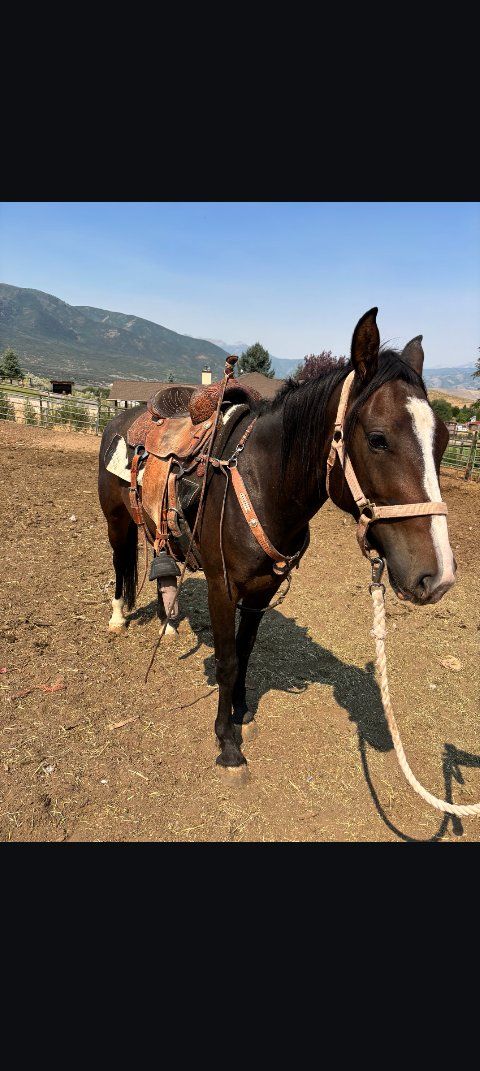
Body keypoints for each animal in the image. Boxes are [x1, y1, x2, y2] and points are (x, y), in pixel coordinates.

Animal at [98, 308, 456, 773]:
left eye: (443, 440)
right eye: (378, 438)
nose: (438, 577)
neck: (263, 483)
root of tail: (121, 419)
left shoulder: (261, 589)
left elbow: (246, 652)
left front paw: (240, 712)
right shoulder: (222, 587)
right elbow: (228, 660)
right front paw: (226, 741)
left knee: (163, 567)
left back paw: (170, 622)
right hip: (117, 521)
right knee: (121, 562)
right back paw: (118, 616)